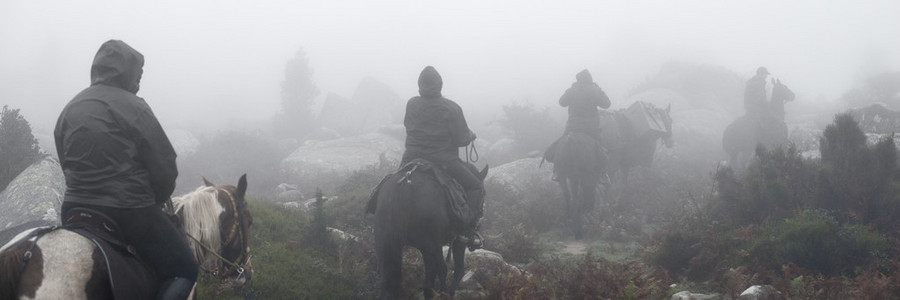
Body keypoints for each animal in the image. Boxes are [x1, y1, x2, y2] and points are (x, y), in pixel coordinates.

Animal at [370, 161, 488, 298]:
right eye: (483, 193)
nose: (478, 223)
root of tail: (404, 184)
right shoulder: (459, 240)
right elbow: (458, 271)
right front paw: (449, 293)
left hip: (386, 243)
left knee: (388, 281)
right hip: (430, 246)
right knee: (438, 273)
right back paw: (442, 293)